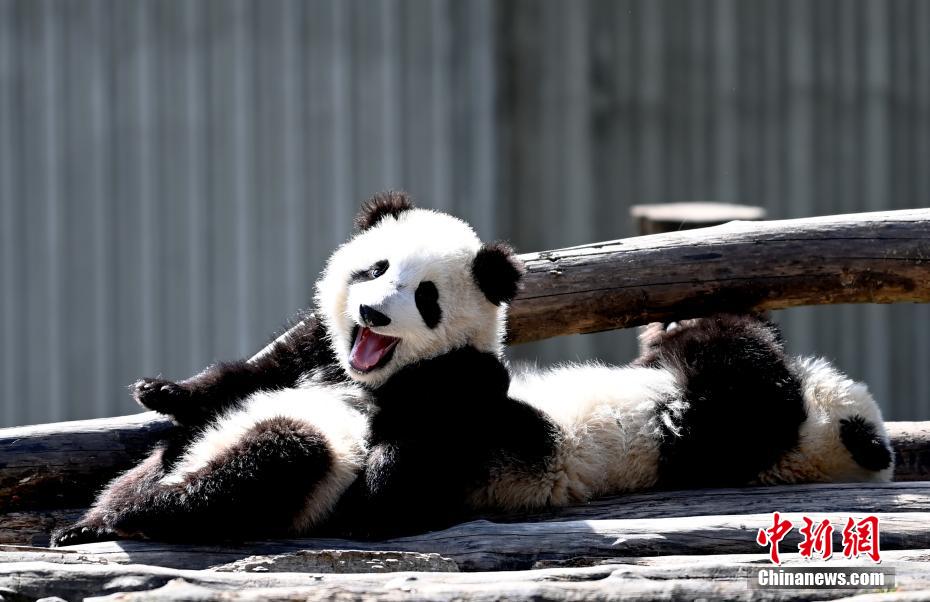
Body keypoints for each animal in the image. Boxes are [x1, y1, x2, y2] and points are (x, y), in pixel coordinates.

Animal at [52, 191, 892, 544]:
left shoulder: (720, 437)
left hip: (307, 468)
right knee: (176, 454)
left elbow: (744, 379)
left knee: (275, 463)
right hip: (191, 448)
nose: (372, 315)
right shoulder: (315, 356)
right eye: (373, 268)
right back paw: (100, 514)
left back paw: (137, 518)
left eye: (423, 296)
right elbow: (248, 372)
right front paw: (164, 389)